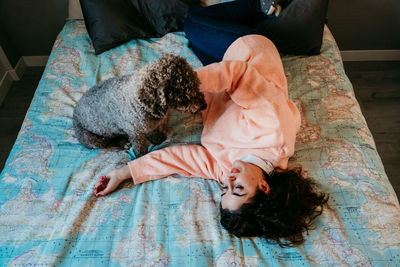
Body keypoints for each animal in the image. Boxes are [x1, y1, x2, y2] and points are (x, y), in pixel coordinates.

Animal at [71, 53, 206, 156]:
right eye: (184, 96)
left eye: (196, 84)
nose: (205, 106)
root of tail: (75, 113)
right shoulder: (136, 132)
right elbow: (139, 146)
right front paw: (142, 155)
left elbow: (153, 130)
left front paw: (156, 137)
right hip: (92, 139)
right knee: (108, 141)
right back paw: (123, 143)